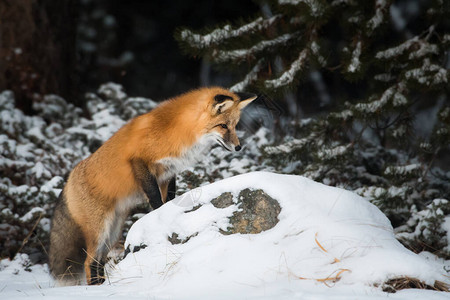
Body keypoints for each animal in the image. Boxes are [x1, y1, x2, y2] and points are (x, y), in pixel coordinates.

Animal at [48, 85, 256, 284]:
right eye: (223, 125)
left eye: (234, 126)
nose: (239, 147)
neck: (179, 130)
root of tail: (69, 179)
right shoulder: (140, 163)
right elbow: (155, 199)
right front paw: (158, 217)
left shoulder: (168, 172)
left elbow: (169, 197)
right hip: (100, 230)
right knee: (88, 261)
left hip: (112, 232)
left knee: (98, 261)